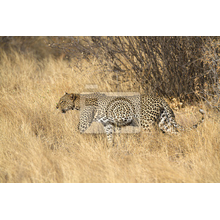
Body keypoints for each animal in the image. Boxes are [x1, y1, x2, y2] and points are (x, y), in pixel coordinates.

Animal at [56, 92, 205, 144]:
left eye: (62, 101)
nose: (56, 106)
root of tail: (160, 99)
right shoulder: (109, 124)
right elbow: (110, 136)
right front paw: (110, 148)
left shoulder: (84, 124)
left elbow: (78, 131)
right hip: (164, 122)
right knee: (176, 132)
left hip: (147, 124)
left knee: (153, 136)